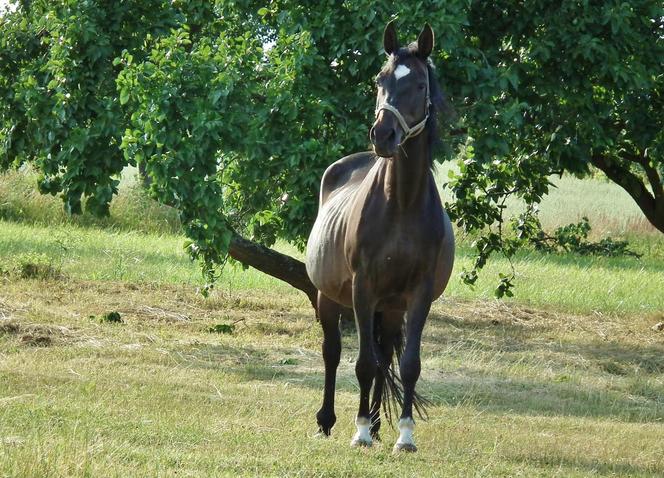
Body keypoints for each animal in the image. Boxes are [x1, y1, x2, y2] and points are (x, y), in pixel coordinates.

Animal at [308, 19, 456, 452]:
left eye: (421, 85)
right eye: (380, 78)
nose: (383, 135)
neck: (402, 203)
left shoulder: (417, 295)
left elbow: (408, 365)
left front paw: (404, 435)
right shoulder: (363, 288)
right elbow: (362, 362)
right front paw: (358, 432)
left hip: (389, 308)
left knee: (386, 355)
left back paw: (376, 423)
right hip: (329, 298)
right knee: (333, 353)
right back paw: (329, 421)